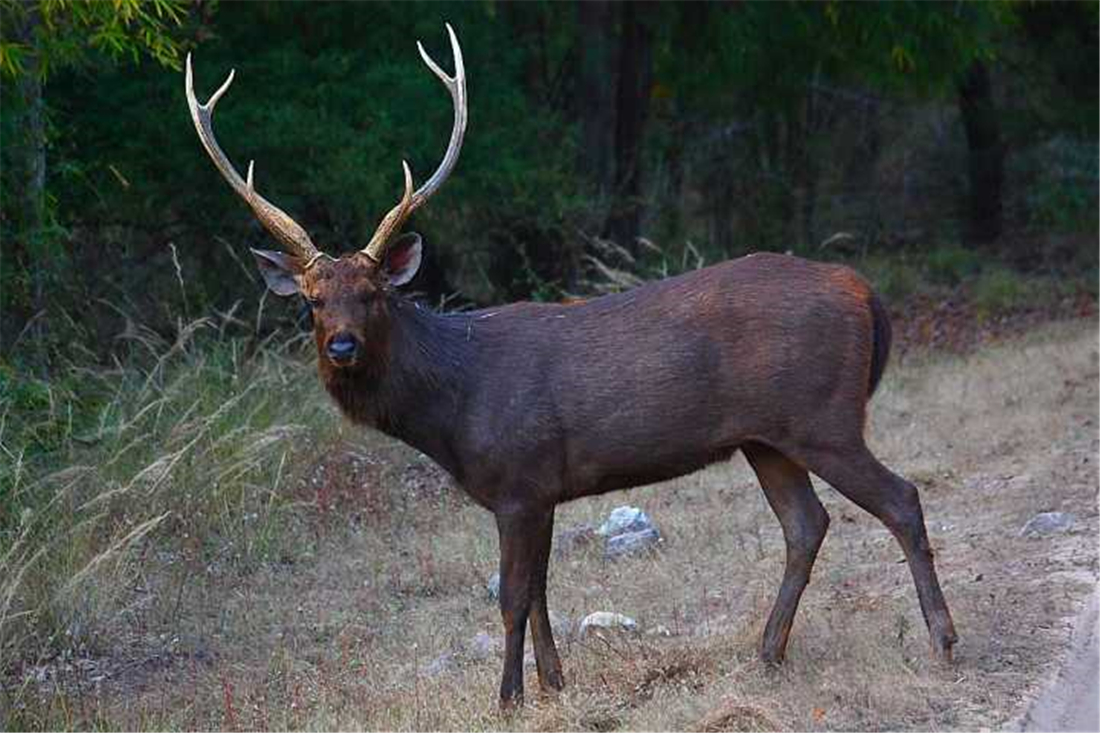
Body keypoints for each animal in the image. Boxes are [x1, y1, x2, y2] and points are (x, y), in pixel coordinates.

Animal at [184, 24, 959, 708]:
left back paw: (942, 641)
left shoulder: (519, 479)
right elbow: (541, 590)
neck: (453, 407)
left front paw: (507, 698)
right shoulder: (543, 487)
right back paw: (767, 652)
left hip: (823, 415)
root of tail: (863, 293)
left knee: (901, 499)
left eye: (373, 294)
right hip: (766, 437)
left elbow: (511, 597)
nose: (342, 346)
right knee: (806, 523)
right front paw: (555, 684)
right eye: (313, 302)